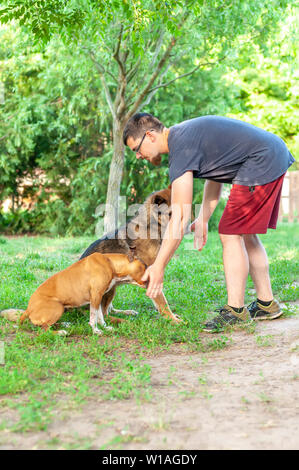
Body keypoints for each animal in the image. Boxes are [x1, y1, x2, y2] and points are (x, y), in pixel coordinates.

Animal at [79, 185, 182, 324]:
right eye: (170, 214)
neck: (150, 226)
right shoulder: (151, 276)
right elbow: (162, 301)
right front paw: (172, 319)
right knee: (104, 314)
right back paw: (122, 321)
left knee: (108, 310)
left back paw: (126, 313)